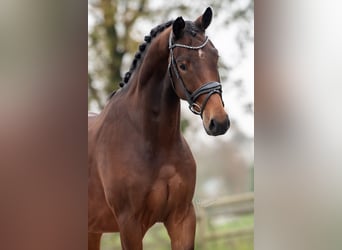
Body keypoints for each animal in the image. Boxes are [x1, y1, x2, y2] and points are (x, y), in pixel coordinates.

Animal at [88, 7, 230, 250]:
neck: (153, 140)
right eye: (182, 65)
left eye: (215, 57)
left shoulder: (181, 218)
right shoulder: (129, 225)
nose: (218, 122)